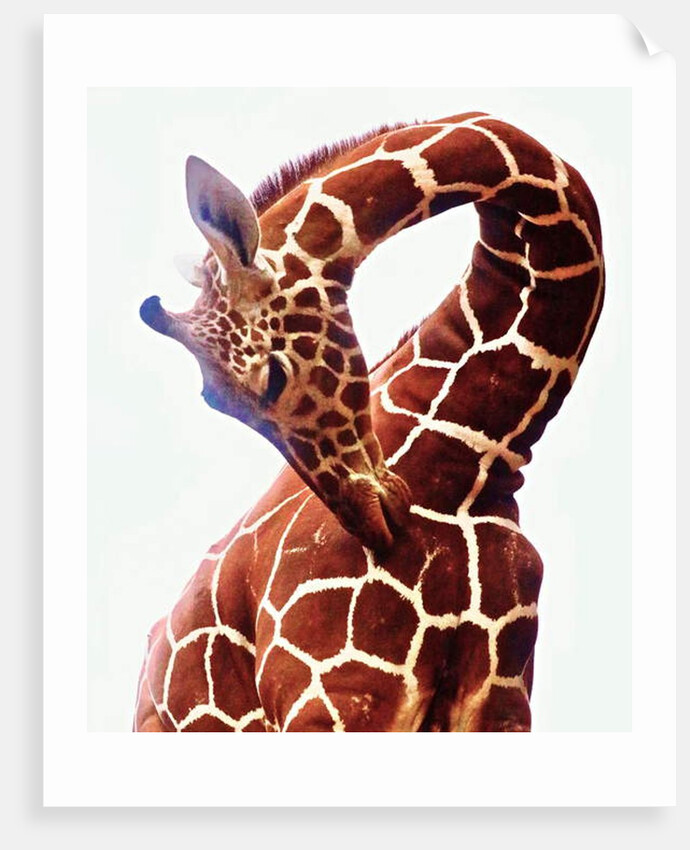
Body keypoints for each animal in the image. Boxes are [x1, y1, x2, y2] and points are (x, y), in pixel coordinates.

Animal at [135, 112, 604, 732]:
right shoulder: (335, 693)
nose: (377, 519)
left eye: (273, 379)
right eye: (216, 402)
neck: (474, 454)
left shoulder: (502, 699)